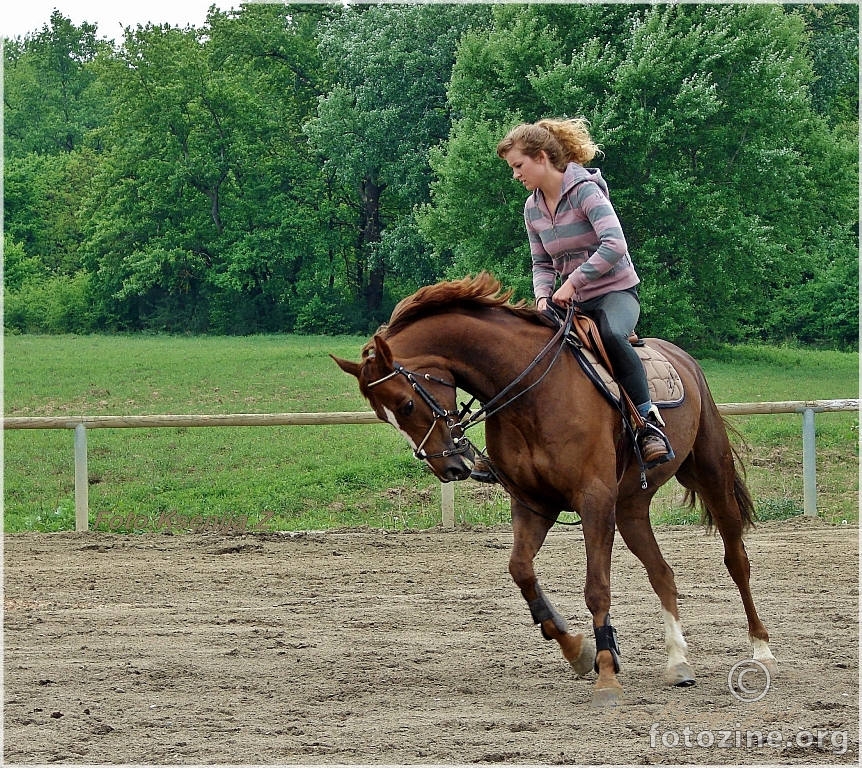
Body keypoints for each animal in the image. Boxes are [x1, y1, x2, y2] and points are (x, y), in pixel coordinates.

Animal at [334, 272, 780, 704]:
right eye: (383, 415)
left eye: (406, 404)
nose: (448, 466)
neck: (529, 389)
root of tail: (683, 358)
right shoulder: (534, 504)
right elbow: (521, 570)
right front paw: (579, 650)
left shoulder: (594, 500)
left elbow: (597, 589)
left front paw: (606, 676)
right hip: (630, 508)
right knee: (662, 573)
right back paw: (678, 663)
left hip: (710, 474)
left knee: (736, 559)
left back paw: (761, 650)